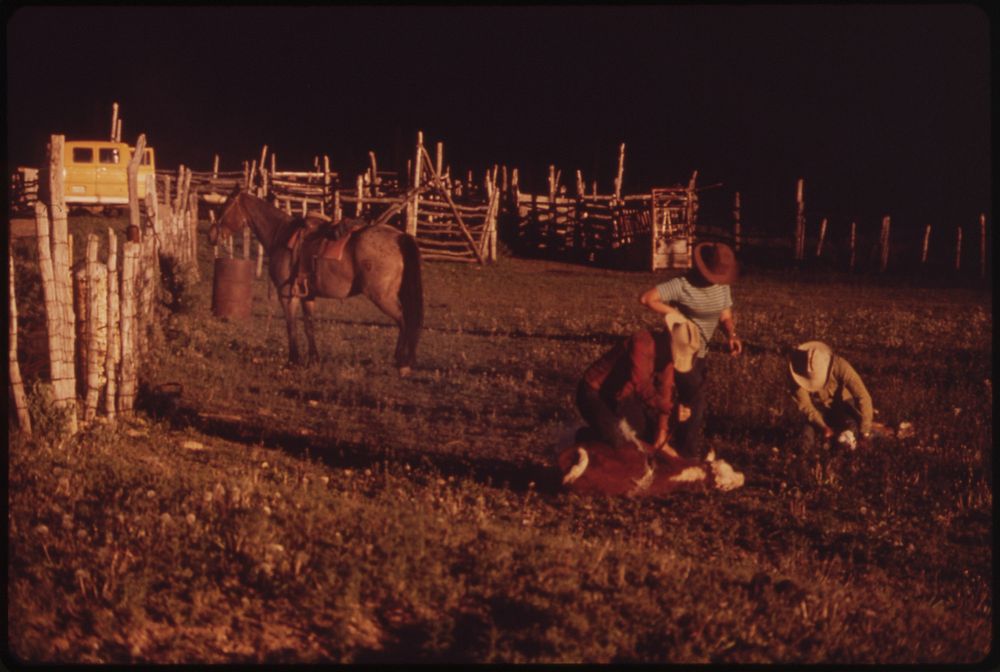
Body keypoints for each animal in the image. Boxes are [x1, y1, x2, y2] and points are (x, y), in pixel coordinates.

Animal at [213, 192, 424, 376]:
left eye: (226, 205)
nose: (212, 234)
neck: (280, 235)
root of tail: (399, 236)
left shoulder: (287, 295)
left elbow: (291, 325)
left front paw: (293, 360)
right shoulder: (307, 296)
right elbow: (309, 326)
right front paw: (313, 359)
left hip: (382, 296)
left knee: (403, 320)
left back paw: (402, 363)